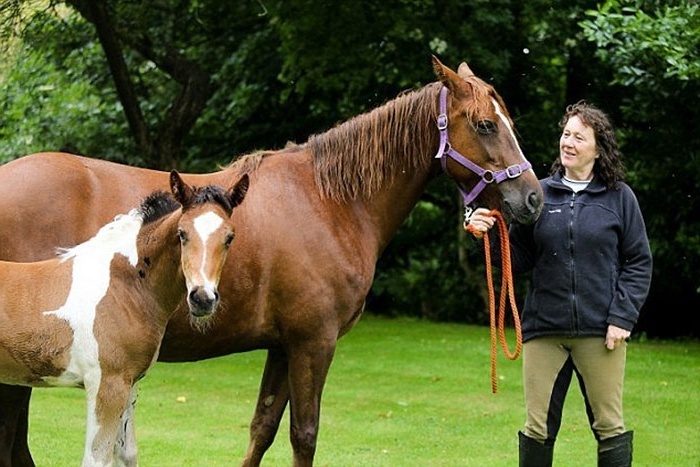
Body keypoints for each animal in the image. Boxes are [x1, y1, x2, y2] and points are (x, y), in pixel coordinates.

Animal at [0, 172, 249, 467]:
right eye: (182, 234)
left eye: (230, 237)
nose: (202, 298)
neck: (124, 284)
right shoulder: (107, 385)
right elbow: (96, 458)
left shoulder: (129, 385)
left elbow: (127, 454)